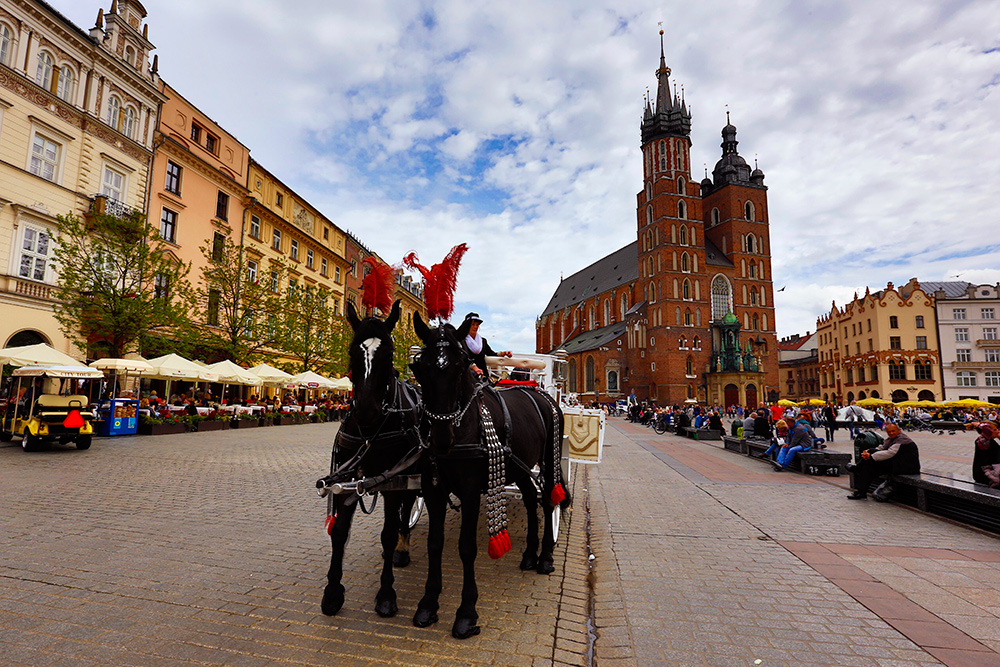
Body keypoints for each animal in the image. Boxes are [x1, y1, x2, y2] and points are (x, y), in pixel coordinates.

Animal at [320, 300, 422, 620]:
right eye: (353, 350)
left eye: (389, 353)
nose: (366, 410)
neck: (369, 432)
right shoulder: (347, 479)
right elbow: (339, 532)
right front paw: (332, 592)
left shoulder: (394, 481)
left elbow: (388, 533)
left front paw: (387, 594)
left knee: (406, 509)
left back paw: (402, 549)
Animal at [408, 316, 568, 640]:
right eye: (420, 367)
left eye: (460, 367)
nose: (441, 439)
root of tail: (539, 391)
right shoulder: (433, 490)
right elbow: (434, 543)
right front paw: (428, 605)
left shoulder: (470, 492)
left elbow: (467, 547)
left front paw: (466, 614)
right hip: (519, 466)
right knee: (530, 500)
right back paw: (529, 554)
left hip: (549, 460)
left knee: (548, 500)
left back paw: (545, 557)